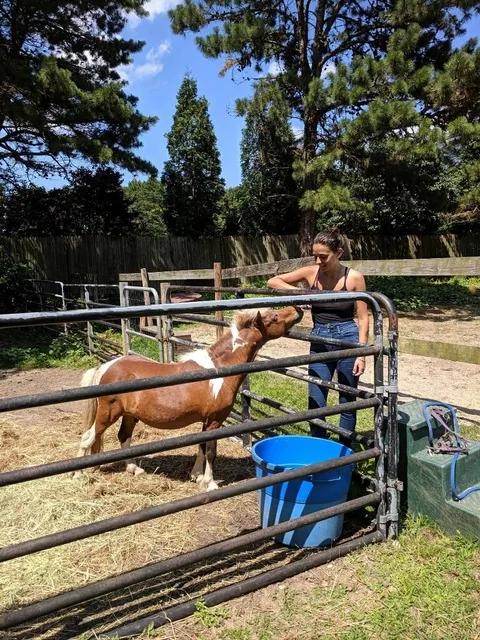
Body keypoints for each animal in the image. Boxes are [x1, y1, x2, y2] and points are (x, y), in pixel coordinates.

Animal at [73, 305, 303, 491]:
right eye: (274, 317)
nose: (297, 308)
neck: (220, 369)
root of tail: (105, 366)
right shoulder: (215, 421)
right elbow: (210, 451)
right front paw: (210, 483)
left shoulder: (206, 422)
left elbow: (201, 447)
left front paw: (196, 476)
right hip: (108, 413)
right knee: (88, 437)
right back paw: (78, 474)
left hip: (129, 415)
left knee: (124, 437)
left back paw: (134, 469)